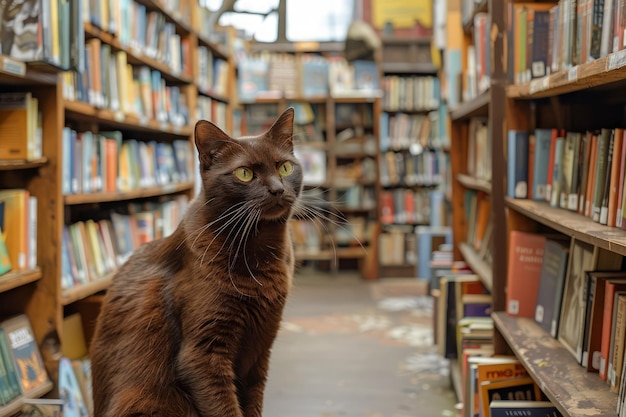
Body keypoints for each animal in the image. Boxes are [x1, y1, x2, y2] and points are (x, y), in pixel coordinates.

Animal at [89, 108, 302, 416]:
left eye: (285, 167)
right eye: (245, 174)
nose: (276, 189)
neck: (261, 249)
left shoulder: (261, 346)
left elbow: (253, 403)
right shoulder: (202, 355)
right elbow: (225, 408)